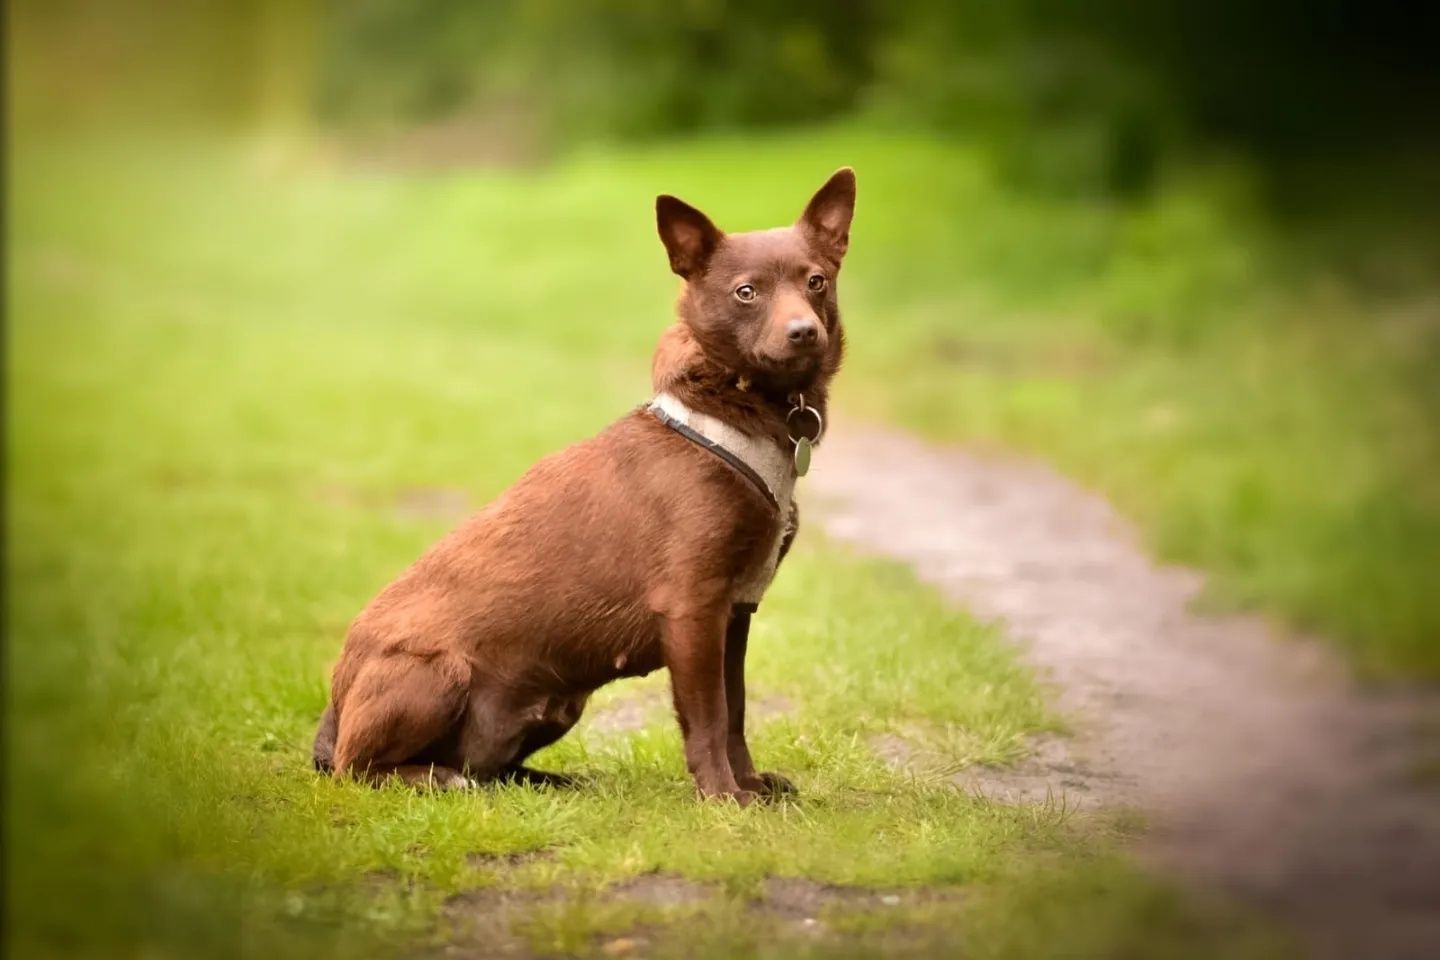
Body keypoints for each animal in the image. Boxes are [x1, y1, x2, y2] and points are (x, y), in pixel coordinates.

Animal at [312, 166, 852, 805]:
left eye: (816, 282)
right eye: (747, 292)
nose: (804, 332)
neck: (738, 405)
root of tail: (332, 713)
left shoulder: (736, 611)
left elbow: (737, 710)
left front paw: (750, 786)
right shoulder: (692, 609)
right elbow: (709, 716)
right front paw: (723, 797)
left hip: (558, 705)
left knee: (493, 769)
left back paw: (553, 781)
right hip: (436, 672)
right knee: (362, 768)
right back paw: (437, 778)